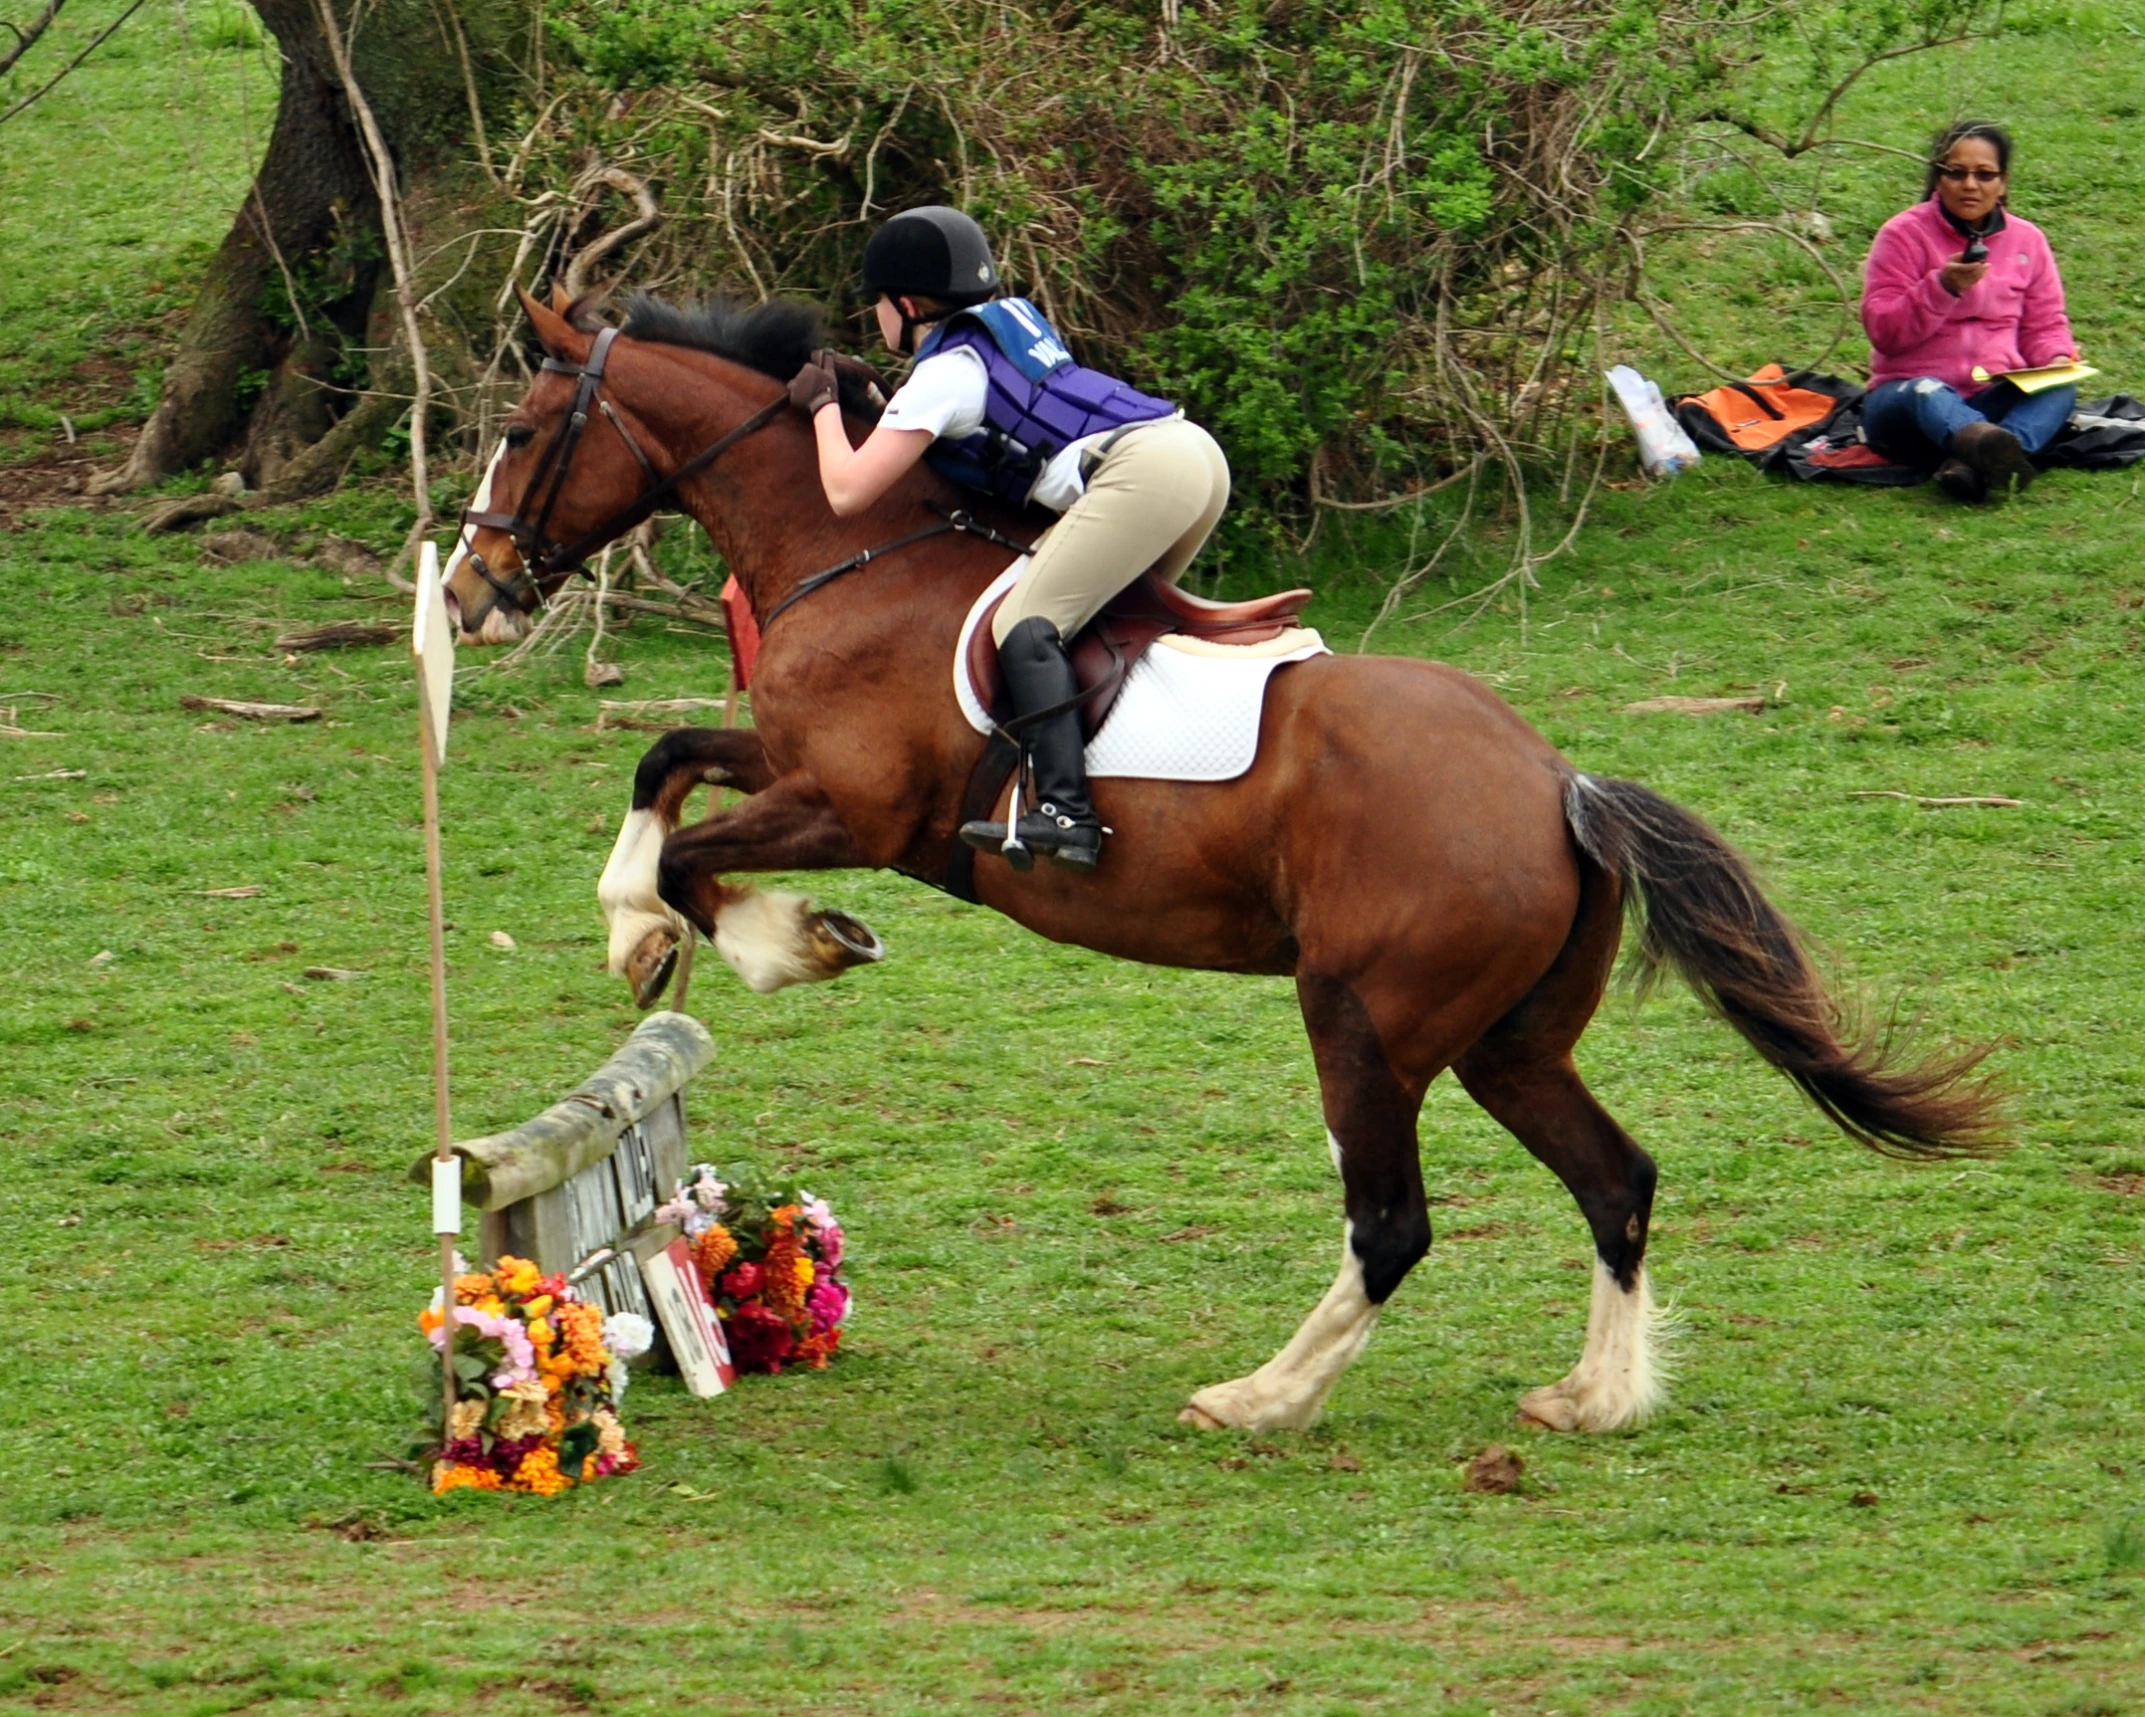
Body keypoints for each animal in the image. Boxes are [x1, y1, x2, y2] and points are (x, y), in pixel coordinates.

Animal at [444, 296, 1999, 1433]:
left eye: (520, 430)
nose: (468, 591)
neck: (852, 542)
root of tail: (1559, 787)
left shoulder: (858, 810)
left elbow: (694, 840)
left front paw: (762, 940)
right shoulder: (791, 764)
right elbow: (665, 767)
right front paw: (656, 933)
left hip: (1365, 1018)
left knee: (1392, 1222)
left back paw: (1260, 1397)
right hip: (1508, 1039)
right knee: (1615, 1179)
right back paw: (1593, 1397)